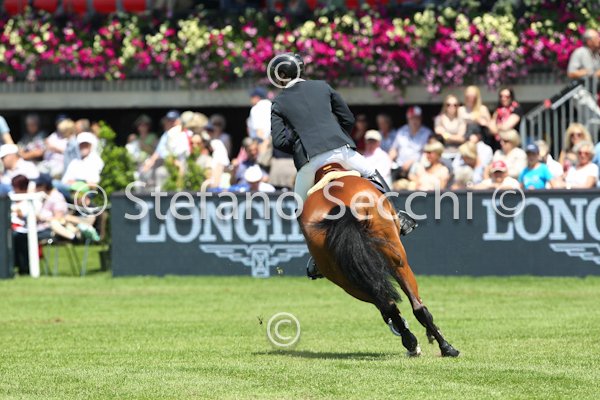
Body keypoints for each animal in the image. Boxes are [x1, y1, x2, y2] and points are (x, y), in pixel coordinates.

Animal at [298, 163, 460, 357]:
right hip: (396, 261)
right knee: (415, 305)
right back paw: (444, 347)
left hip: (348, 279)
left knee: (389, 304)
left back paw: (413, 342)